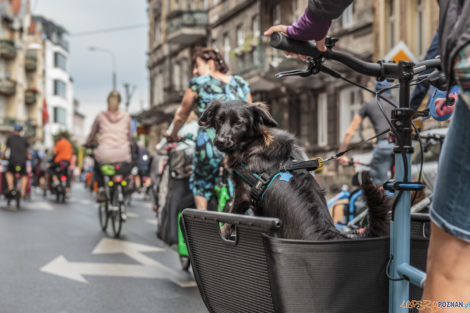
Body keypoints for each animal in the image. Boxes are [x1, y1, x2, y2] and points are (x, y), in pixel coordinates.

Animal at [200, 100, 392, 239]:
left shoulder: (243, 194)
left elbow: (227, 222)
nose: (220, 141)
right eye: (219, 120)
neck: (253, 145)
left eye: (239, 123)